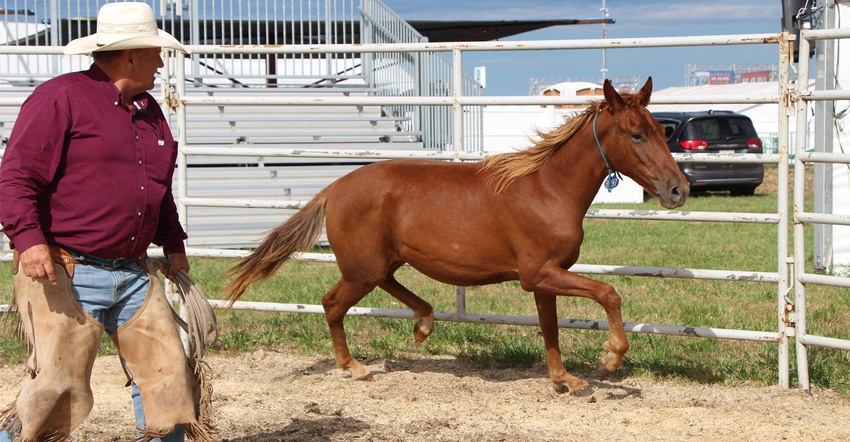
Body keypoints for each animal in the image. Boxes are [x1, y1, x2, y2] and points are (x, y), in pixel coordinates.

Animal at [227, 77, 688, 394]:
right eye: (636, 134)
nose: (678, 190)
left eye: (661, 130)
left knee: (386, 286)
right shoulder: (538, 274)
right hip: (362, 268)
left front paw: (564, 380)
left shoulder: (545, 278)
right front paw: (608, 360)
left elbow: (551, 329)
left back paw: (423, 324)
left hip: (381, 261)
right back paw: (354, 366)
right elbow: (609, 293)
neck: (547, 189)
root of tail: (334, 189)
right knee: (332, 303)